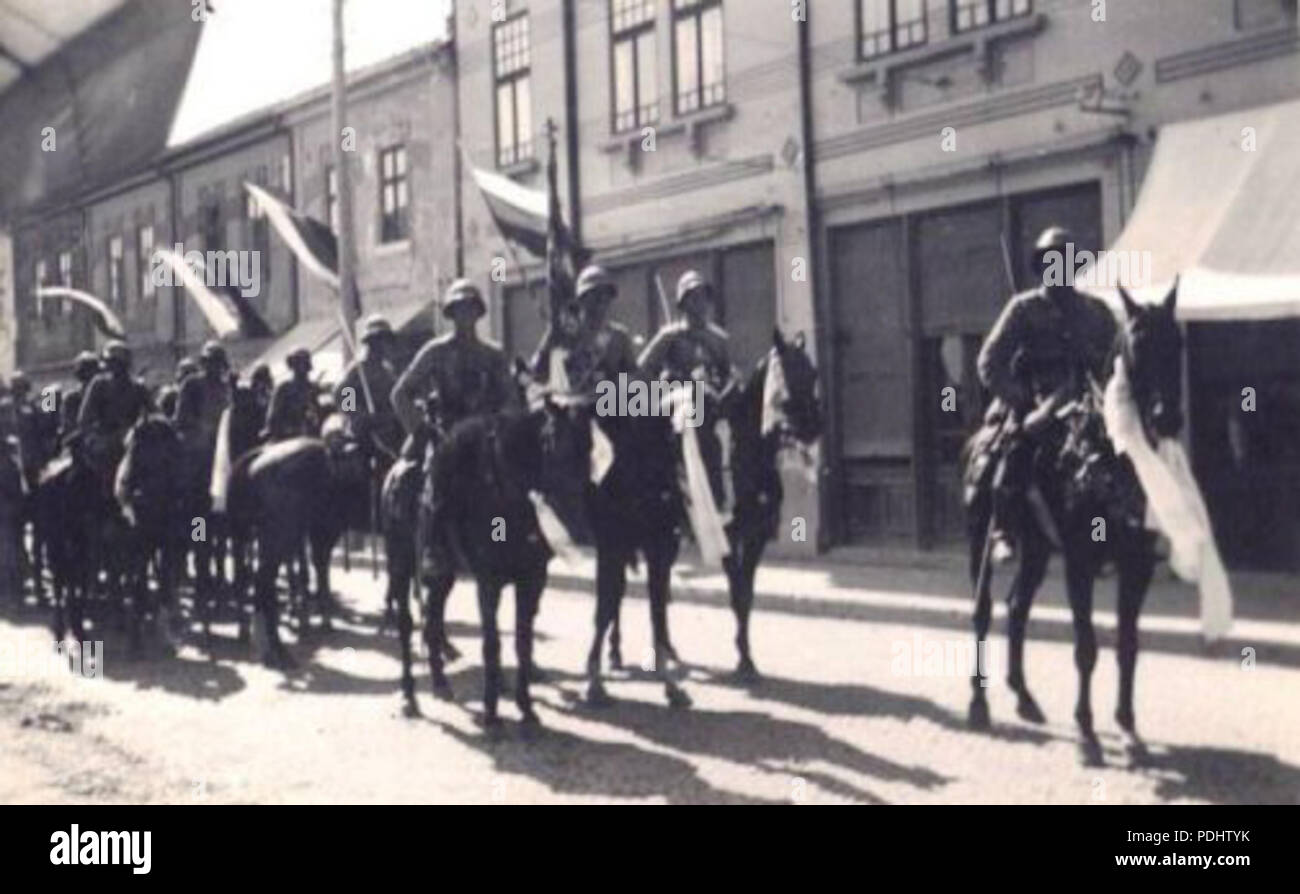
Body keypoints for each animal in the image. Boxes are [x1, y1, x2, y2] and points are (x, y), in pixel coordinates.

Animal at [961, 283, 1185, 764]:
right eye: (1137, 345)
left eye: (1178, 342)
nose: (1168, 418)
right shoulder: (1079, 562)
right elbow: (1085, 647)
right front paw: (1087, 732)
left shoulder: (1137, 565)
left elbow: (1127, 645)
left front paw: (1128, 728)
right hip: (978, 539)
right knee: (983, 612)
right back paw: (978, 703)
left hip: (1037, 550)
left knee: (1017, 607)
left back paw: (1024, 696)